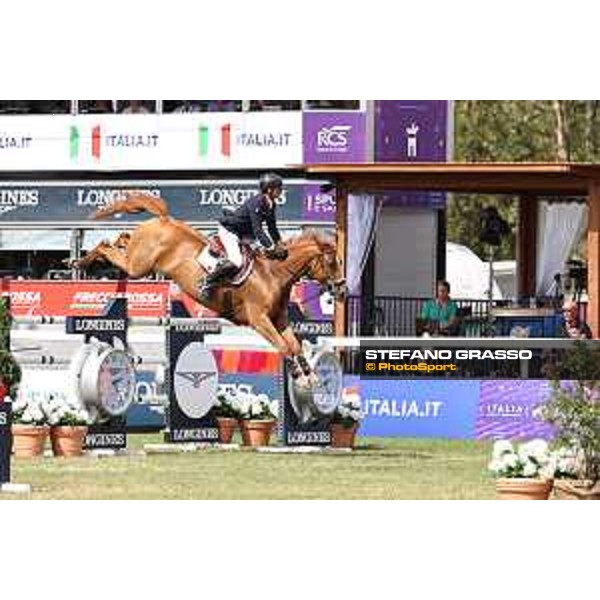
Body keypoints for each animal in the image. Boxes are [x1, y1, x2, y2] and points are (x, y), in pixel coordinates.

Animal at [75, 192, 346, 380]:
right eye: (331, 262)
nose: (342, 289)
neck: (274, 274)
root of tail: (164, 219)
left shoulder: (279, 319)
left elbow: (295, 345)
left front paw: (310, 376)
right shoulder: (259, 320)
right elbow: (283, 347)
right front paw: (300, 378)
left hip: (138, 261)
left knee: (120, 239)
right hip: (138, 267)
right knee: (105, 245)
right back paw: (80, 262)